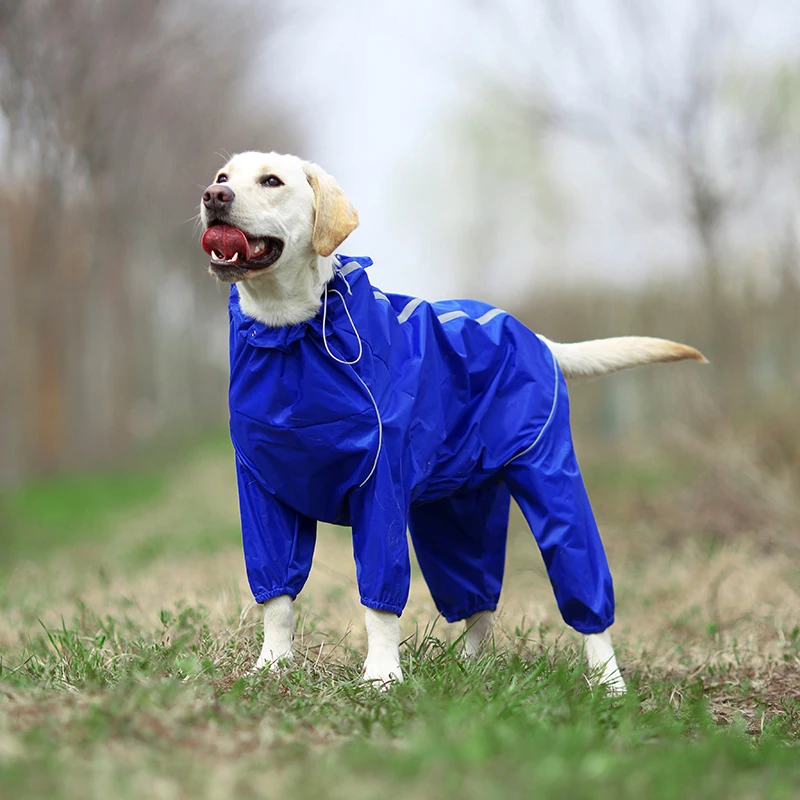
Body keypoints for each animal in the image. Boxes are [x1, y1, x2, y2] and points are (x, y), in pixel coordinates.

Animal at [200, 153, 708, 692]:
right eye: (223, 178)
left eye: (272, 181)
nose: (214, 197)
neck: (288, 331)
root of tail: (536, 338)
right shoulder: (262, 493)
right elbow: (277, 598)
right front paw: (272, 666)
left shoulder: (380, 492)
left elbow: (380, 604)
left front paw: (381, 677)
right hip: (456, 511)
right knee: (478, 605)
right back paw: (470, 669)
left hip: (553, 484)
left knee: (584, 588)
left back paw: (609, 682)